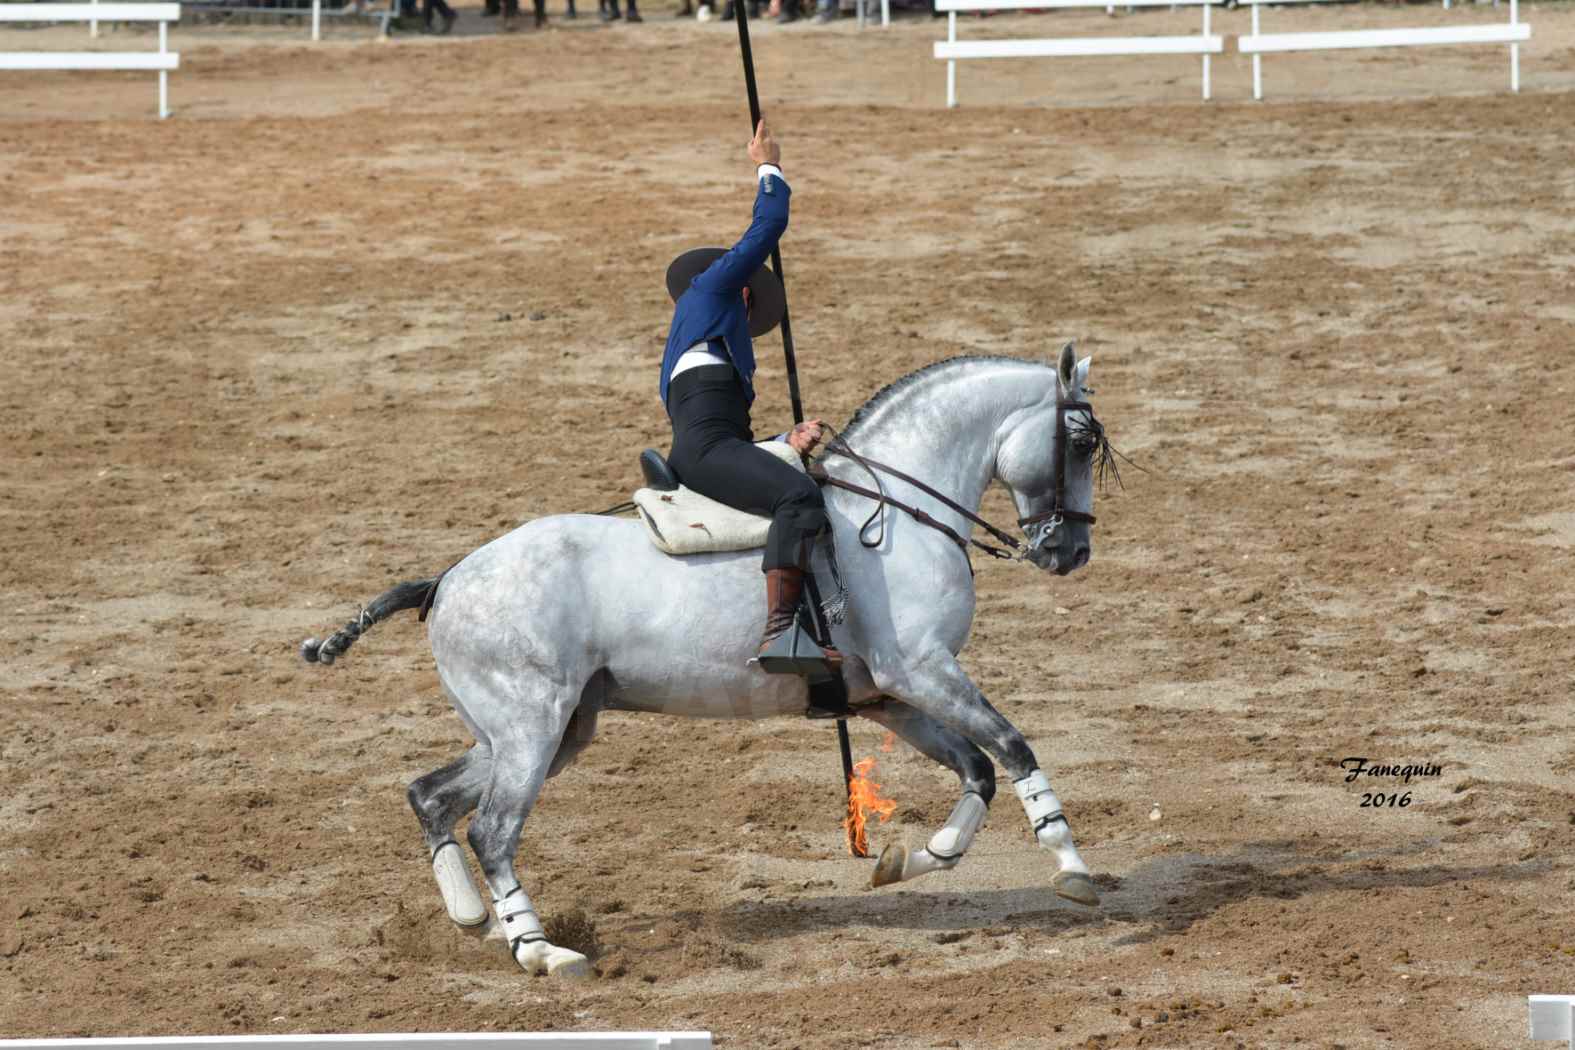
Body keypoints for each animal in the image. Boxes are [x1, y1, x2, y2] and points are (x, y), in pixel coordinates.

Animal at [297, 344, 1108, 976]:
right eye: (1077, 441)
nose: (1070, 552)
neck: (892, 517)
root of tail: (446, 580)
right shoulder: (921, 672)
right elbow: (1013, 747)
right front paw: (1072, 869)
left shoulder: (888, 696)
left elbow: (977, 771)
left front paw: (909, 859)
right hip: (531, 730)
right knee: (493, 830)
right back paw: (542, 952)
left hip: (548, 731)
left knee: (430, 796)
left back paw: (476, 920)